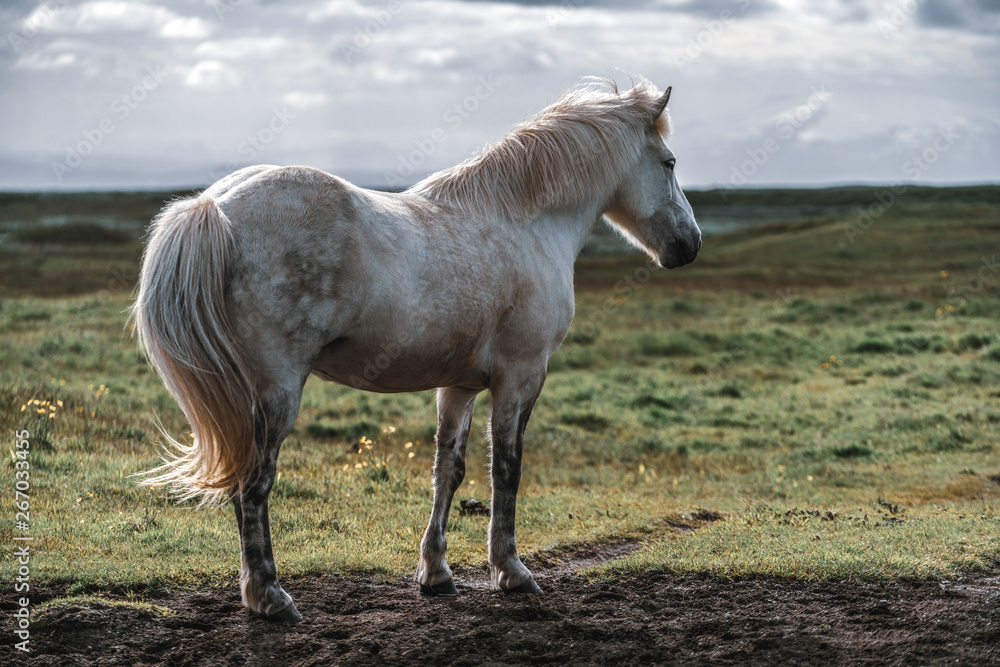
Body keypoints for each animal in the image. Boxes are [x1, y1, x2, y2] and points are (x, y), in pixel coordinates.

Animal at [131, 77, 696, 620]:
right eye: (668, 163)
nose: (689, 245)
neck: (525, 222)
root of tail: (216, 206)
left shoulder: (460, 385)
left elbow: (449, 471)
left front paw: (437, 573)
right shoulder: (522, 375)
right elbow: (506, 469)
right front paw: (511, 571)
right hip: (276, 392)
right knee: (254, 484)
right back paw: (271, 597)